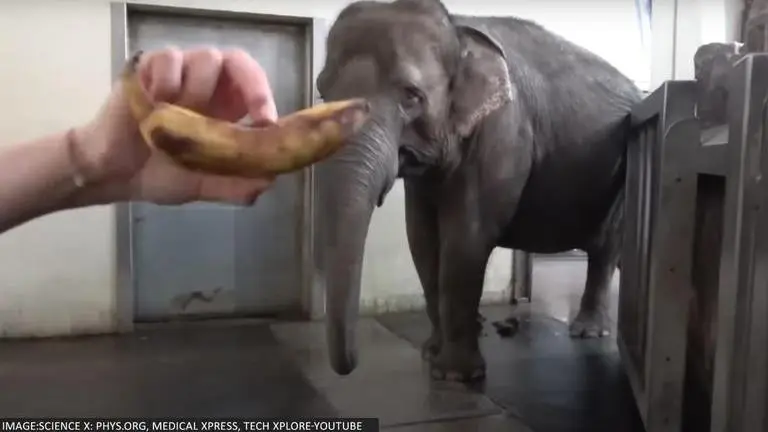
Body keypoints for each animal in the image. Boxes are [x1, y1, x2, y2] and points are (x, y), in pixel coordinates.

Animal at [314, 0, 643, 381]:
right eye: (322, 91)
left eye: (411, 95)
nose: (351, 365)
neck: (457, 28)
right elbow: (422, 238)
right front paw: (431, 355)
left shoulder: (503, 133)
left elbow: (466, 237)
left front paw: (456, 375)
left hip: (622, 171)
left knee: (606, 247)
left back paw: (588, 332)